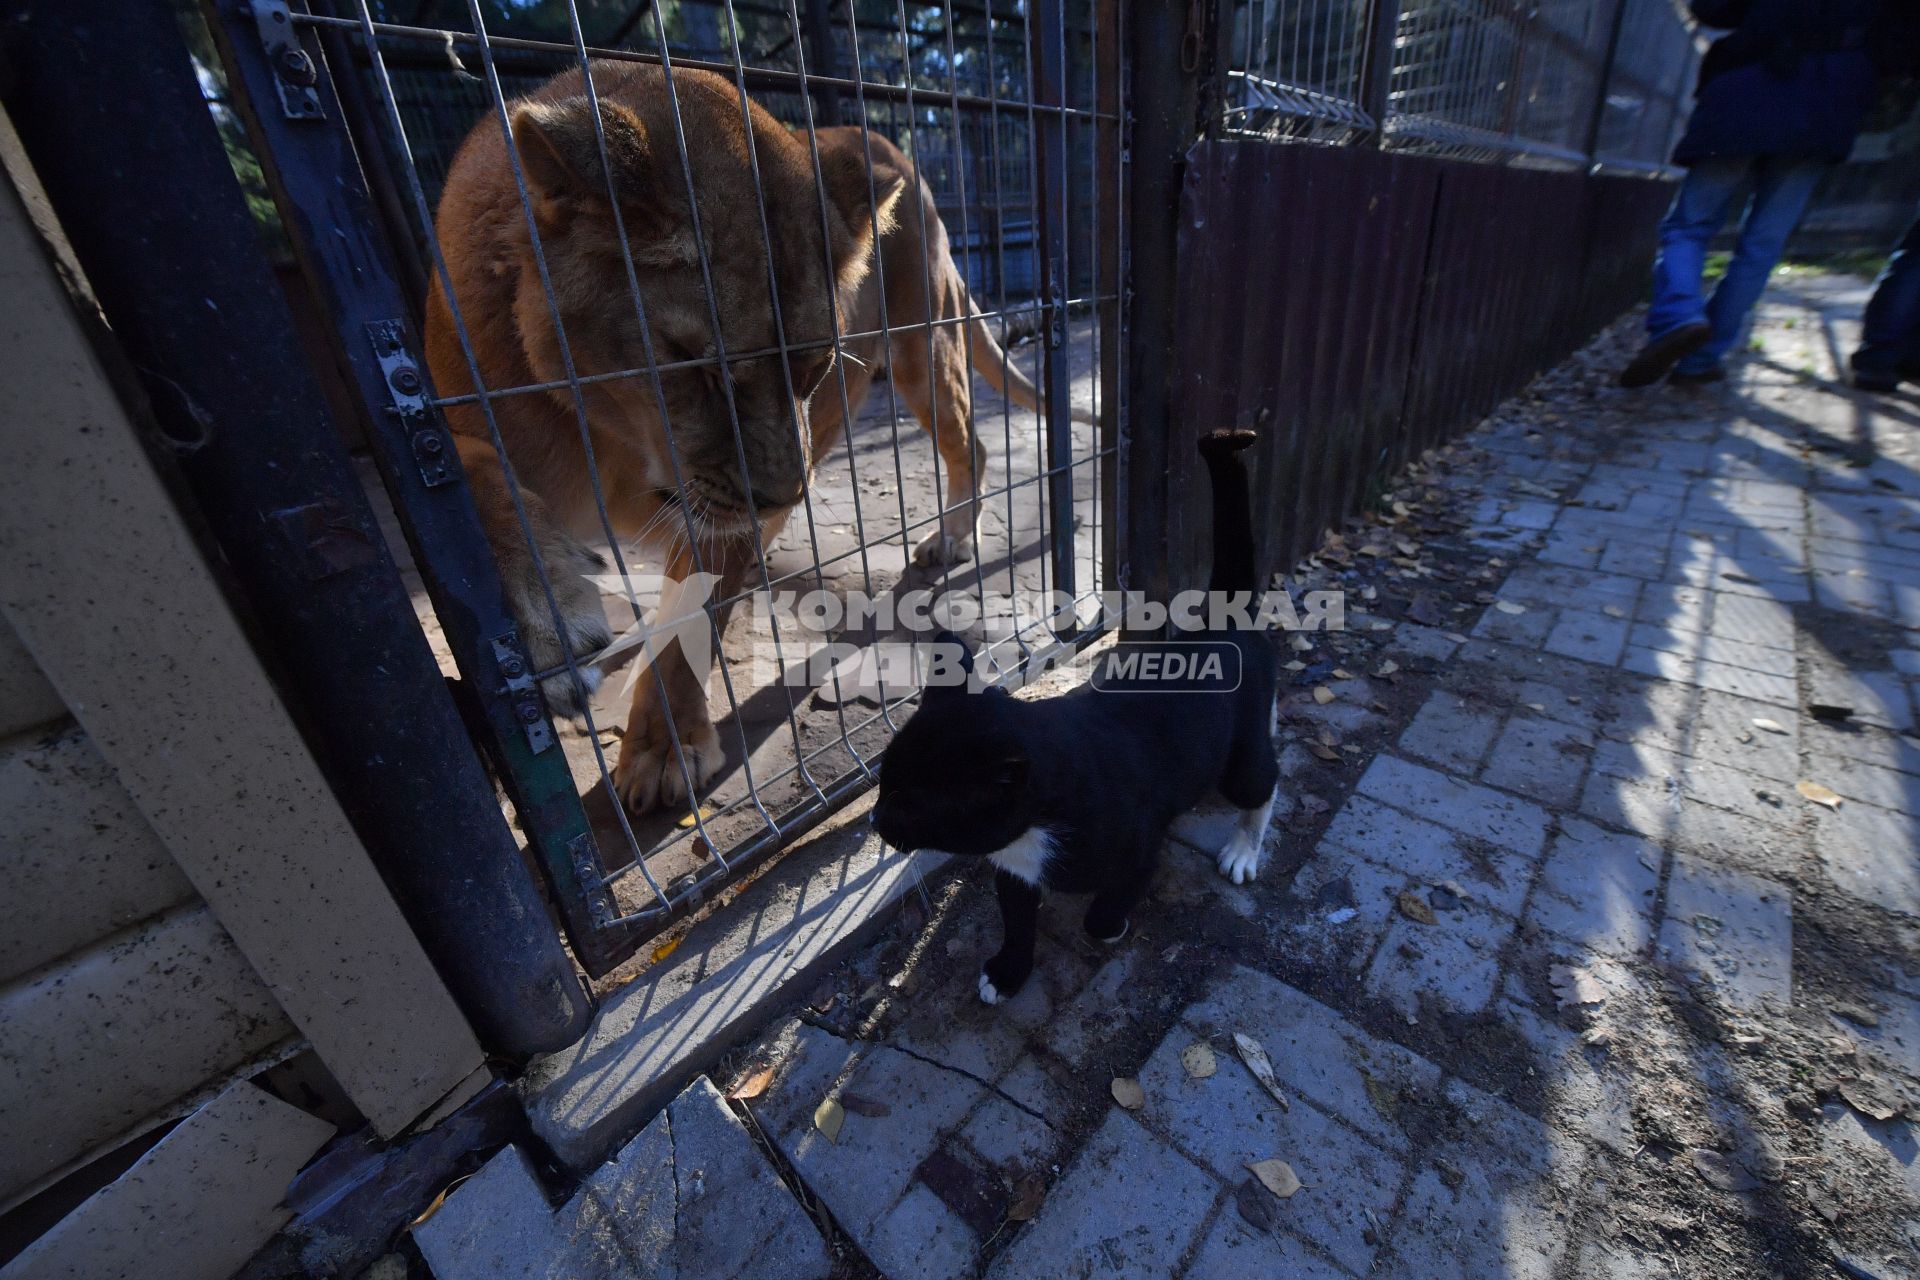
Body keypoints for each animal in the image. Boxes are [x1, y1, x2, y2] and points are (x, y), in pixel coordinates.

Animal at [871, 435, 1274, 1005]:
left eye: (911, 805)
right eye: (882, 784)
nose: (873, 820)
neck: (1038, 825)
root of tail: (1223, 623)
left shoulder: (1141, 847)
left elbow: (1102, 912)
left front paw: (1110, 927)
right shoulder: (1014, 868)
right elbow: (1017, 923)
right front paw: (1008, 972)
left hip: (1241, 761)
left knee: (1264, 784)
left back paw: (1242, 849)